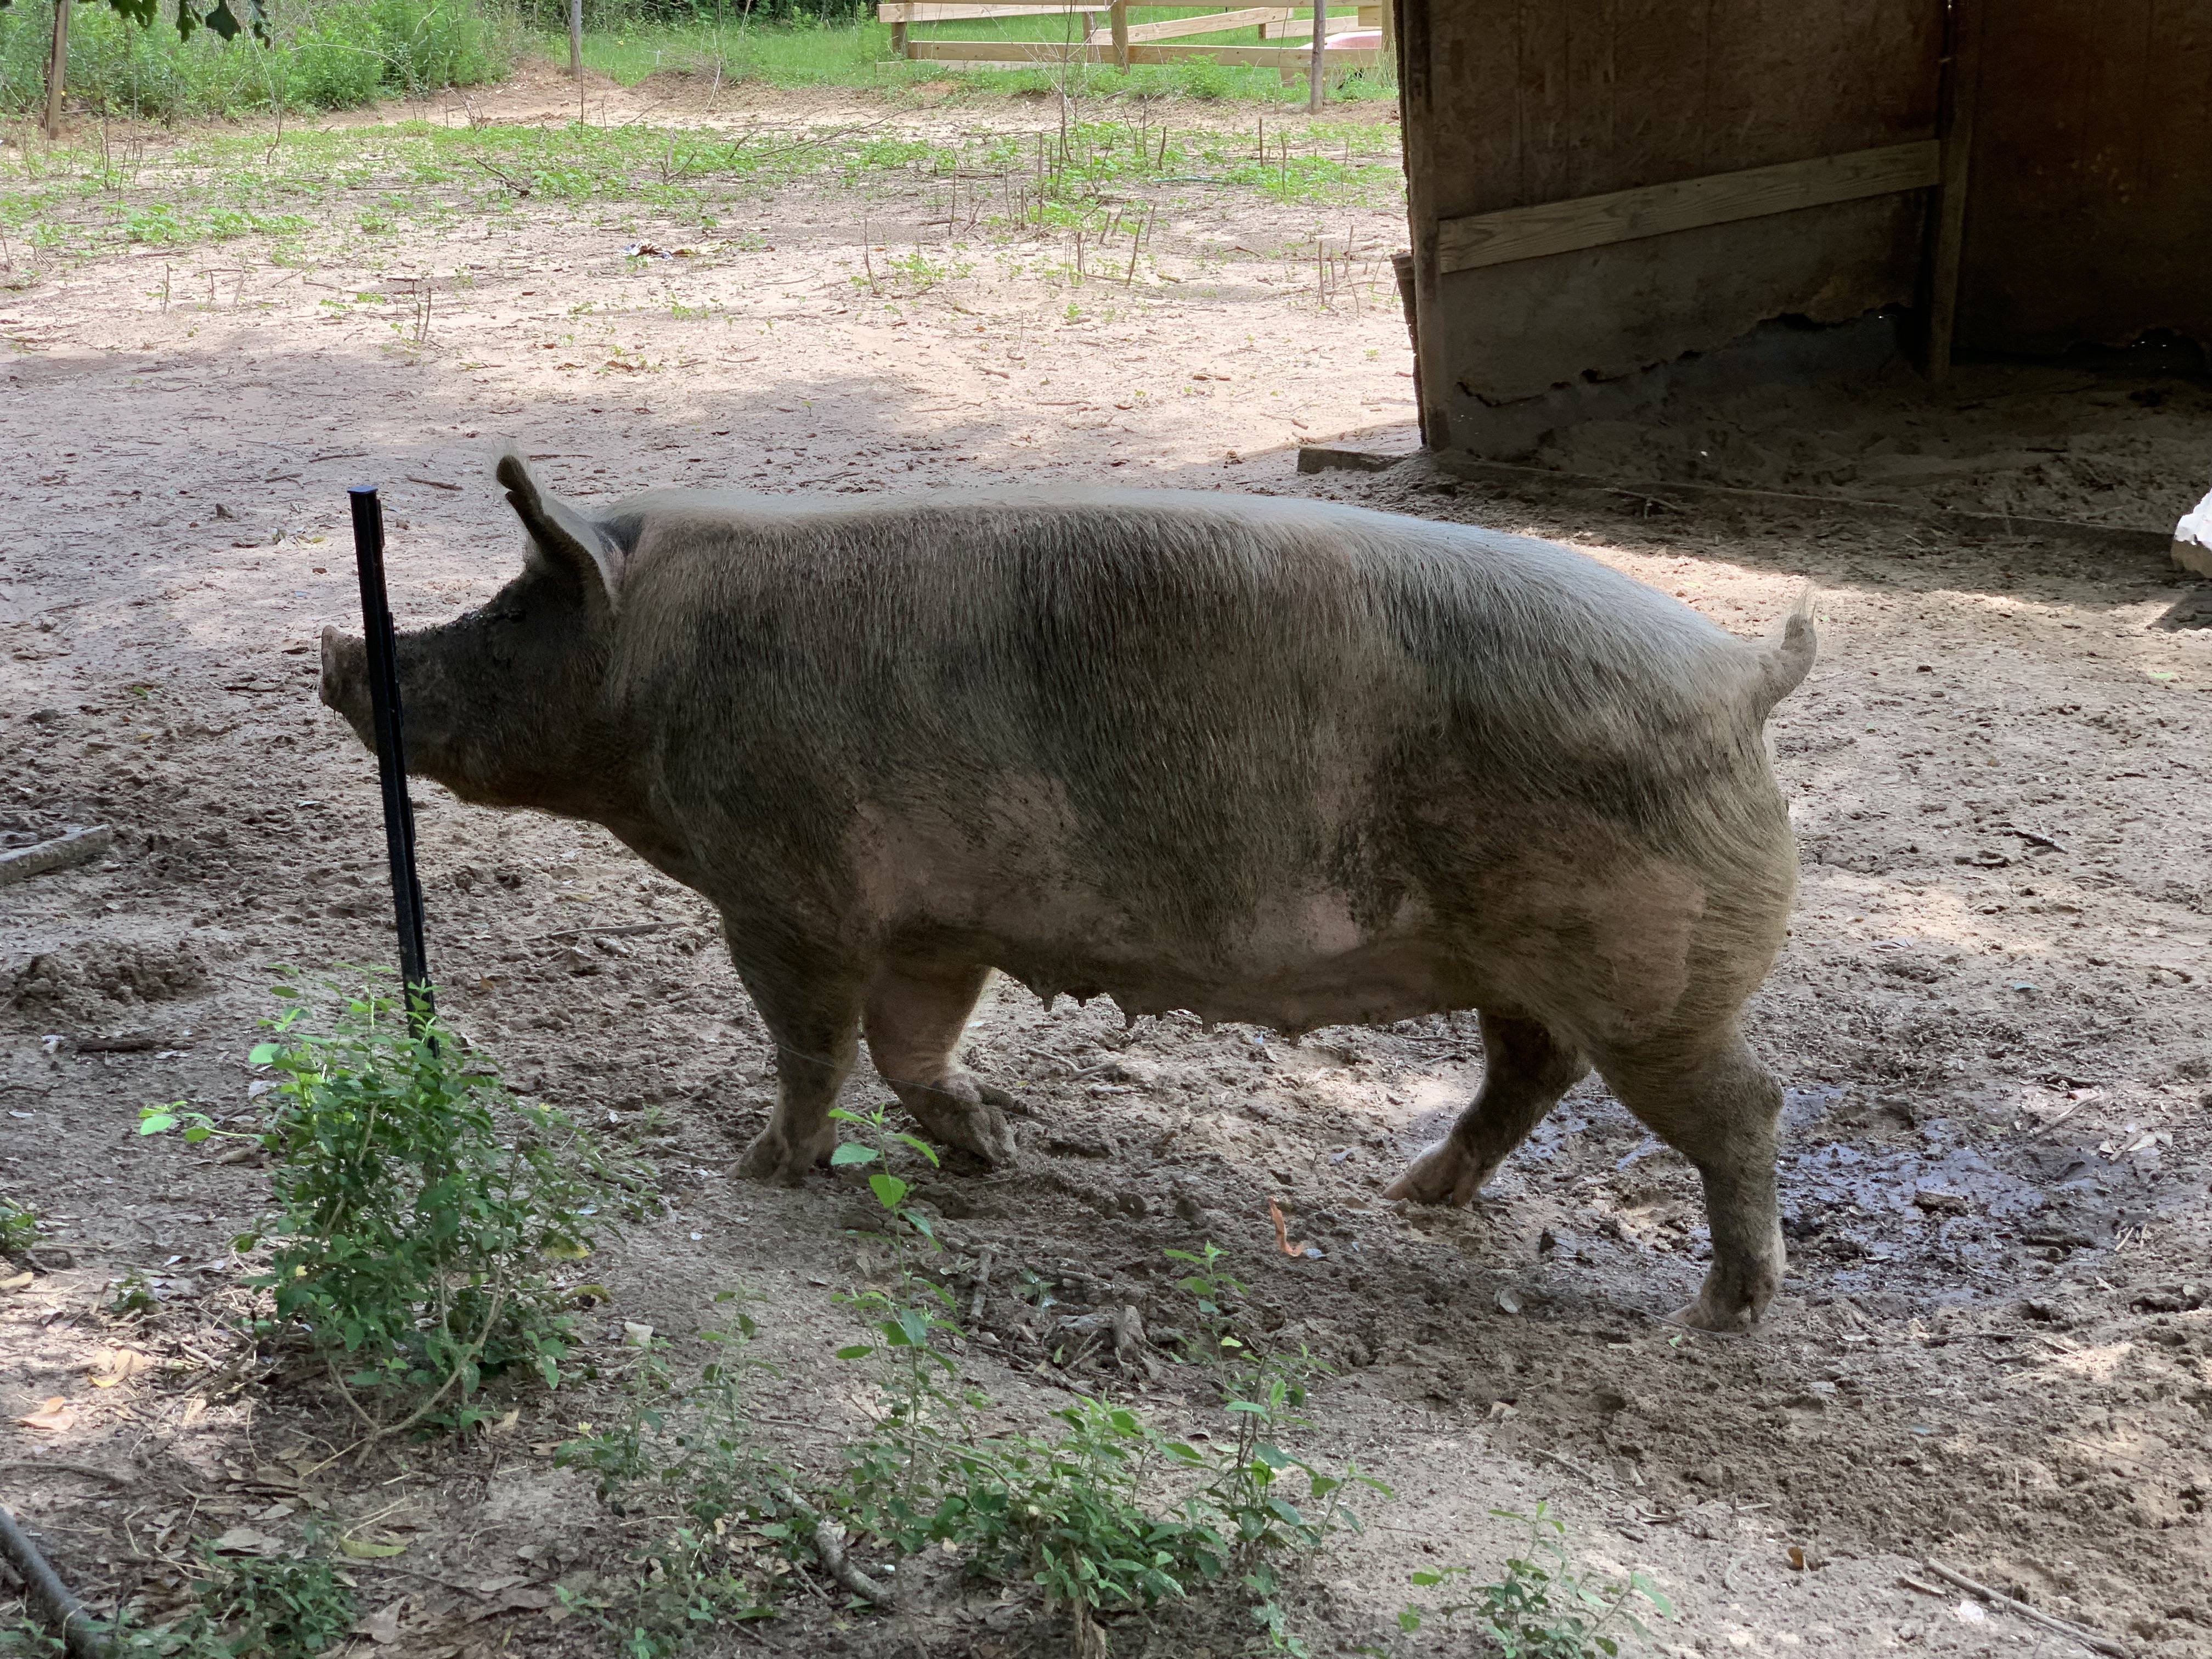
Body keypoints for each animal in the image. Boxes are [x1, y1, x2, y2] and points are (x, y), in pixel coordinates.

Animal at [319, 448, 1818, 1331]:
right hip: (1527, 961)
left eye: (511, 613)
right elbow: (912, 1046)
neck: (658, 669)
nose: (334, 657)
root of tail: (1745, 670)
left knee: (1742, 1106)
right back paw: (1413, 1197)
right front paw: (991, 1153)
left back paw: (1723, 1315)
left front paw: (752, 1170)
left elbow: (812, 1045)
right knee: (1532, 1071)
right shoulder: (932, 924)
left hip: (1648, 970)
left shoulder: (783, 891)